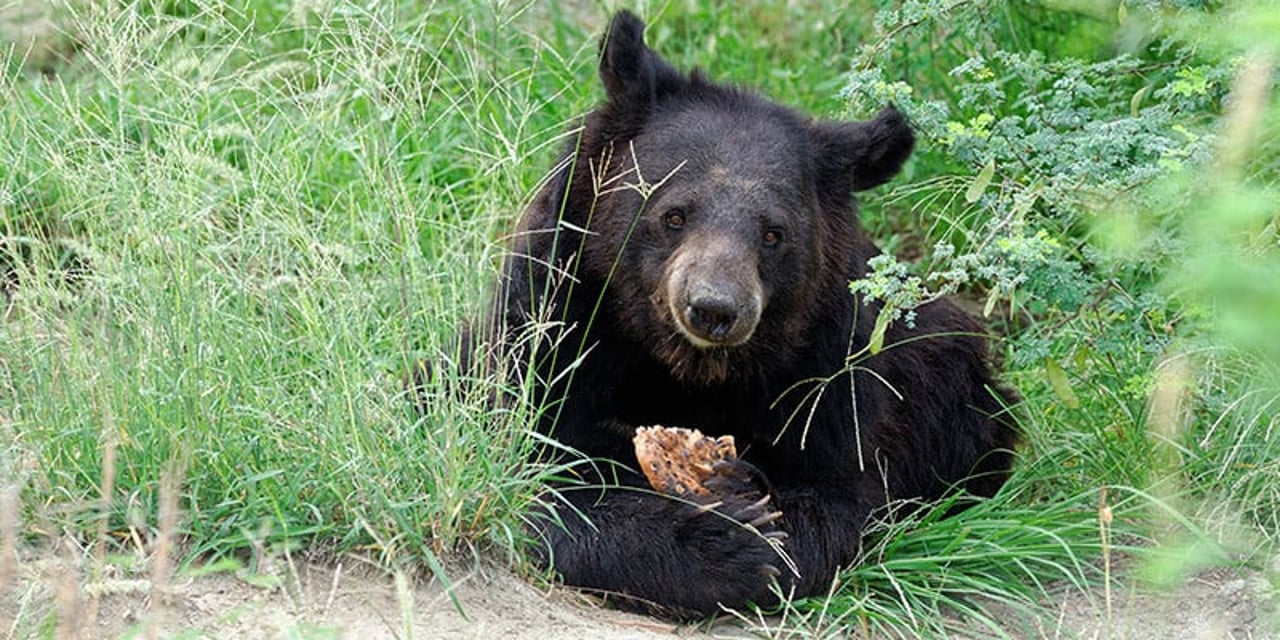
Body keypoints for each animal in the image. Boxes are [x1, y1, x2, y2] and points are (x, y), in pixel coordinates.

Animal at [419, 10, 1018, 619]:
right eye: (673, 214)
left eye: (774, 234)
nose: (713, 309)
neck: (688, 365)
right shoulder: (552, 316)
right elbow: (527, 454)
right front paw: (718, 545)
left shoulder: (830, 370)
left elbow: (836, 492)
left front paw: (745, 501)